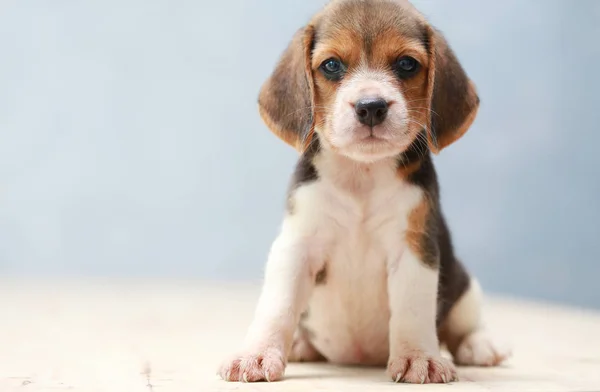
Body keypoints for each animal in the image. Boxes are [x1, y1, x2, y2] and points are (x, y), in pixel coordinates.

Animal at [220, 0, 510, 382]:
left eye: (406, 64)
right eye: (331, 65)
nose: (371, 106)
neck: (363, 174)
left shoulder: (413, 247)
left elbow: (412, 310)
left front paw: (419, 357)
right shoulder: (296, 247)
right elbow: (277, 307)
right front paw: (256, 354)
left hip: (464, 285)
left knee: (463, 324)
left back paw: (479, 345)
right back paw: (300, 343)